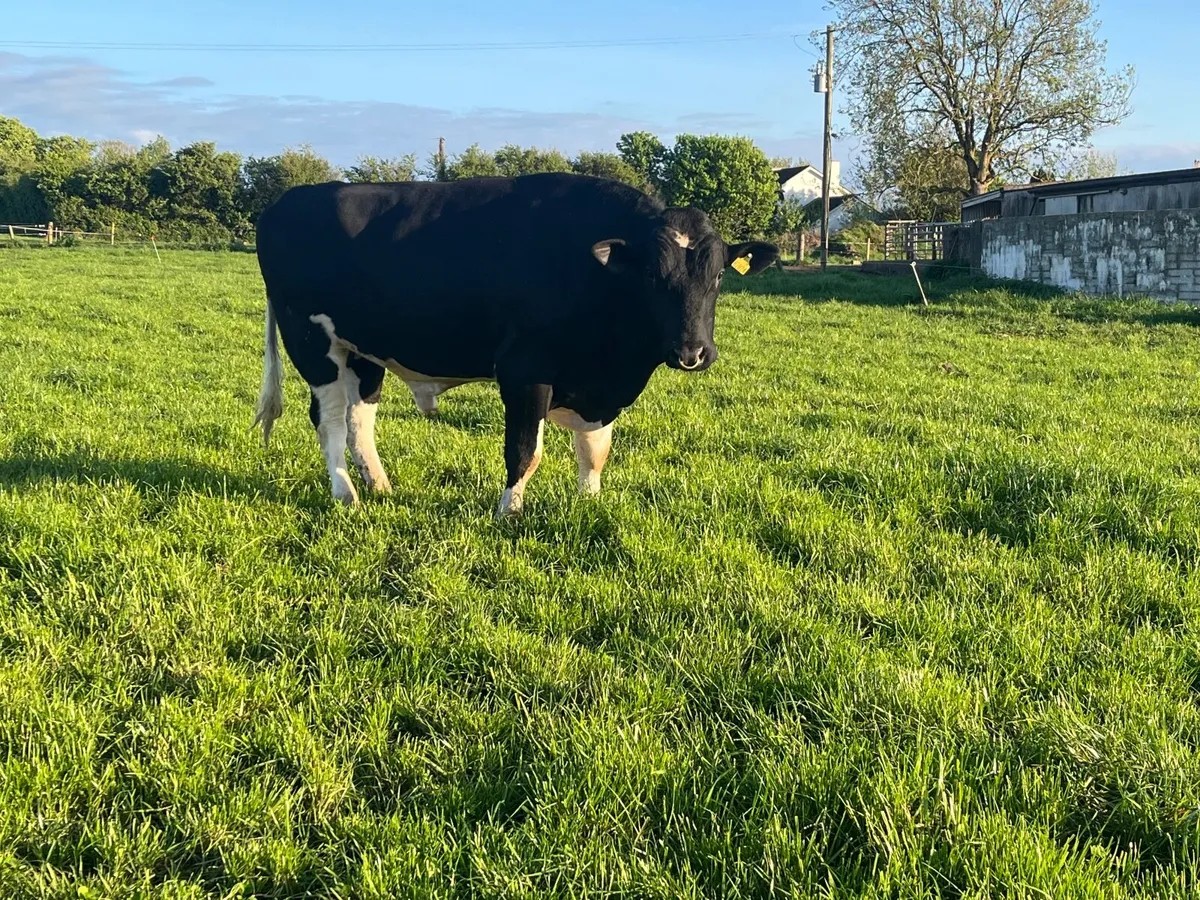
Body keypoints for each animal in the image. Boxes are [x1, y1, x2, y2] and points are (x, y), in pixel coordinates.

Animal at [251, 173, 779, 517]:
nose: (692, 353)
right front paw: (509, 512)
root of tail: (284, 202)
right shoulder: (525, 370)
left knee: (360, 418)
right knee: (329, 420)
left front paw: (589, 502)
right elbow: (525, 450)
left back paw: (379, 486)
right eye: (653, 277)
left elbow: (595, 450)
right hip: (312, 343)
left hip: (365, 351)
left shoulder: (599, 388)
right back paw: (347, 495)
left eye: (718, 277)